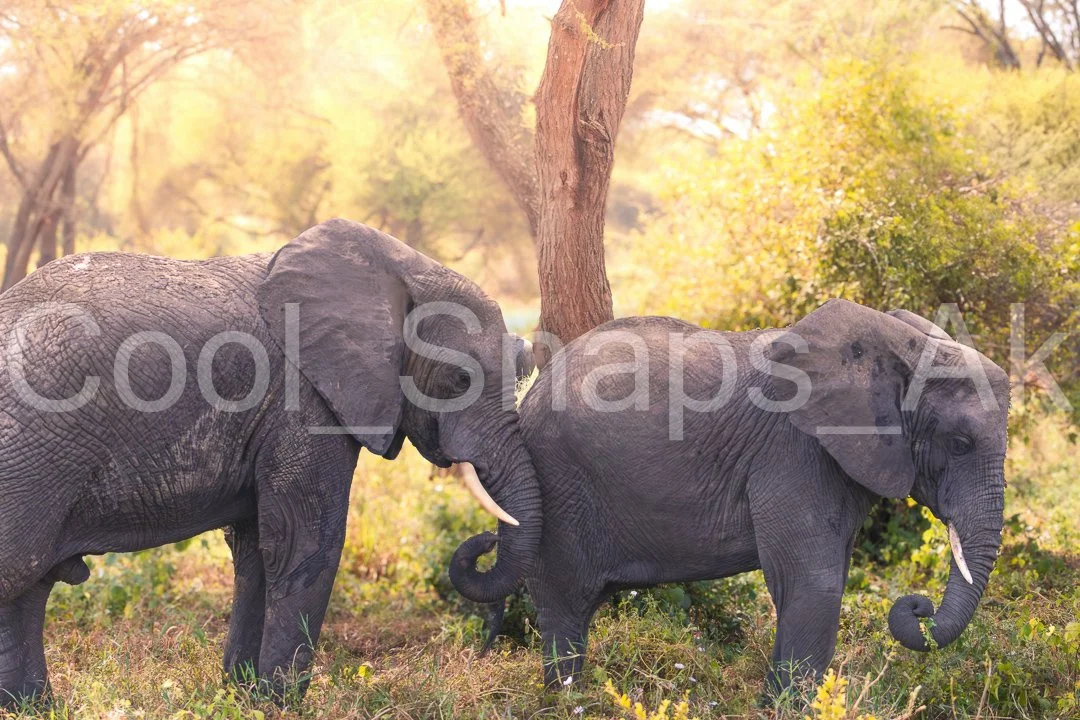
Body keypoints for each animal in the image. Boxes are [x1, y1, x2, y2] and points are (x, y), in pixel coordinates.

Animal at [0, 218, 541, 706]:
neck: (401, 268)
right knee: (19, 571)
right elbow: (306, 540)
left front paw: (244, 697)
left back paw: (33, 708)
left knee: (27, 588)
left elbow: (258, 546)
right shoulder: (302, 401)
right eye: (458, 381)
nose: (488, 540)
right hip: (29, 453)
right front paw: (280, 703)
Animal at [457, 299, 1009, 696]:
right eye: (960, 444)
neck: (898, 346)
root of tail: (530, 394)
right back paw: (569, 700)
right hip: (561, 484)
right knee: (565, 604)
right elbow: (813, 582)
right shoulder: (794, 454)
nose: (917, 606)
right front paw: (787, 706)